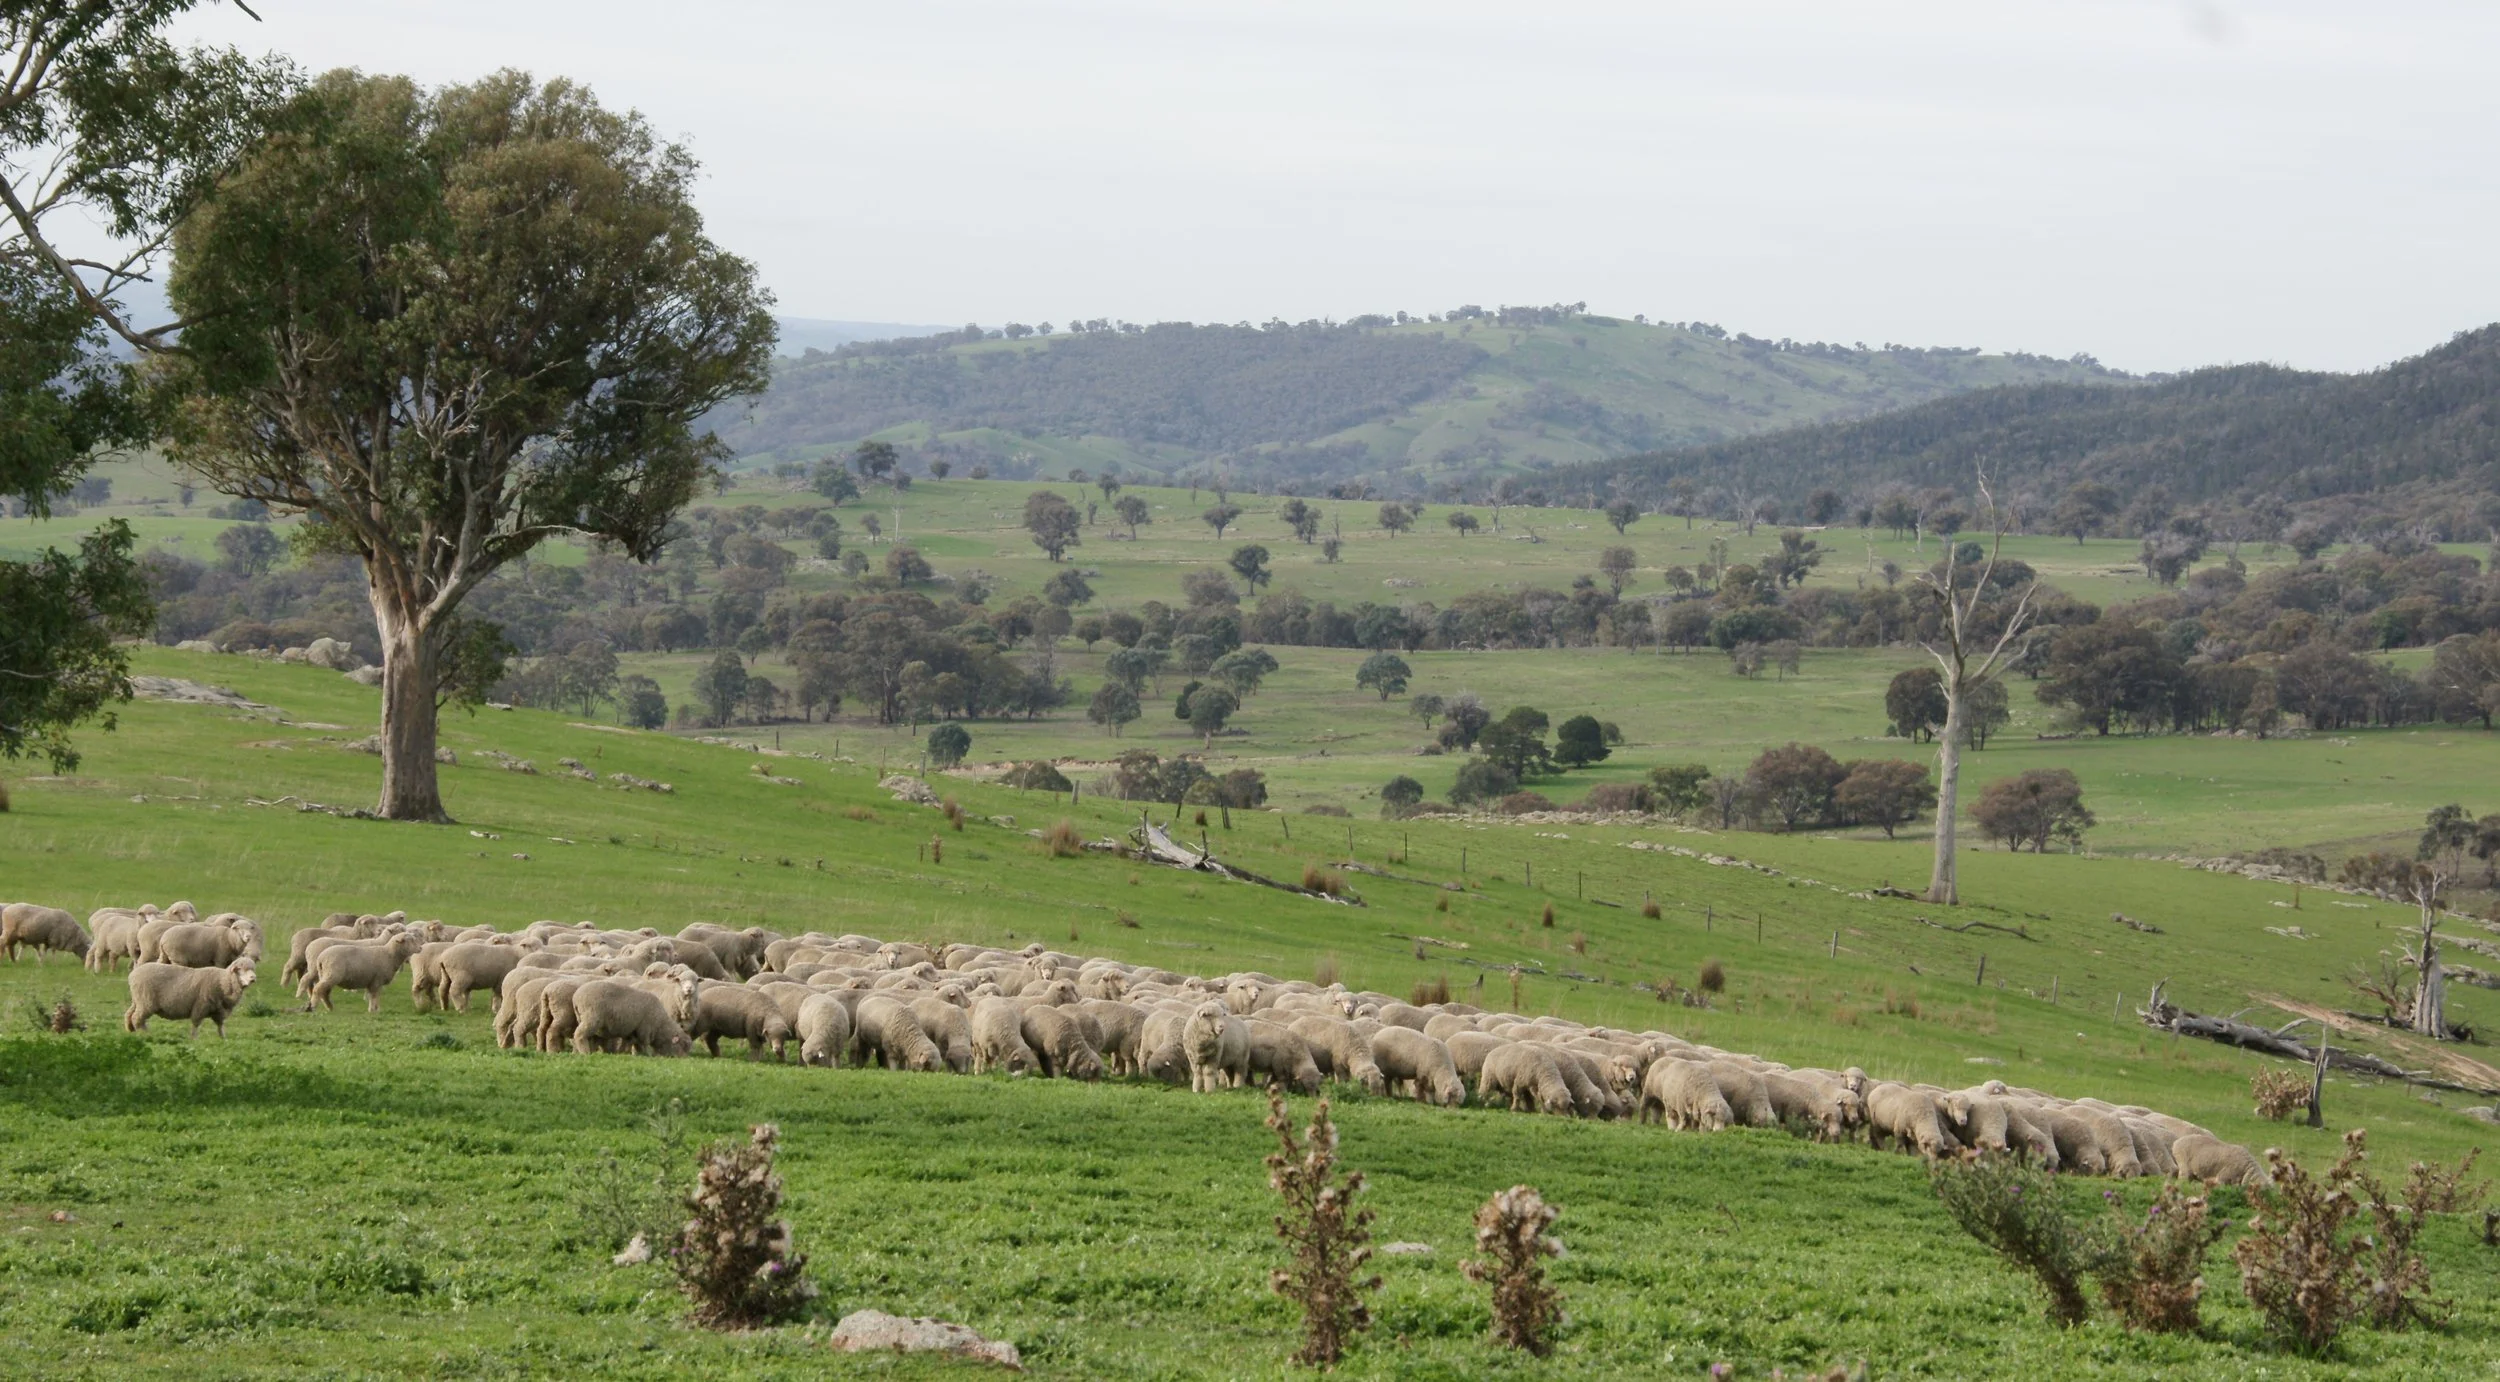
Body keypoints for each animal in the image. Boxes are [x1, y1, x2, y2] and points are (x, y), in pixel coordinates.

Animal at [124, 958, 256, 1037]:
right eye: (240, 969)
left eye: (252, 969)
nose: (253, 978)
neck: (223, 980)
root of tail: (132, 975)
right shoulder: (201, 1005)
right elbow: (196, 1024)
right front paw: (194, 1039)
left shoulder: (219, 1010)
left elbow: (220, 1025)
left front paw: (223, 1039)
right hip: (146, 1001)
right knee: (137, 1018)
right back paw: (145, 1034)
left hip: (138, 1000)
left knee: (129, 1014)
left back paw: (132, 1030)